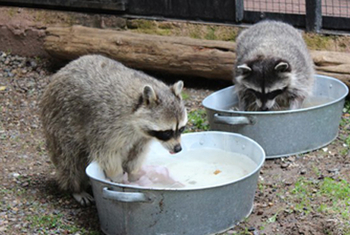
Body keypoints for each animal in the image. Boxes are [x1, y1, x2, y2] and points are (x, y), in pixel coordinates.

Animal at [39, 54, 187, 206]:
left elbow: (136, 154)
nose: (178, 149)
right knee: (69, 160)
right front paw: (118, 178)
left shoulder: (142, 137)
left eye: (181, 129)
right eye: (167, 132)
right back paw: (75, 188)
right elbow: (107, 153)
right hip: (59, 121)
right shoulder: (107, 123)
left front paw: (133, 175)